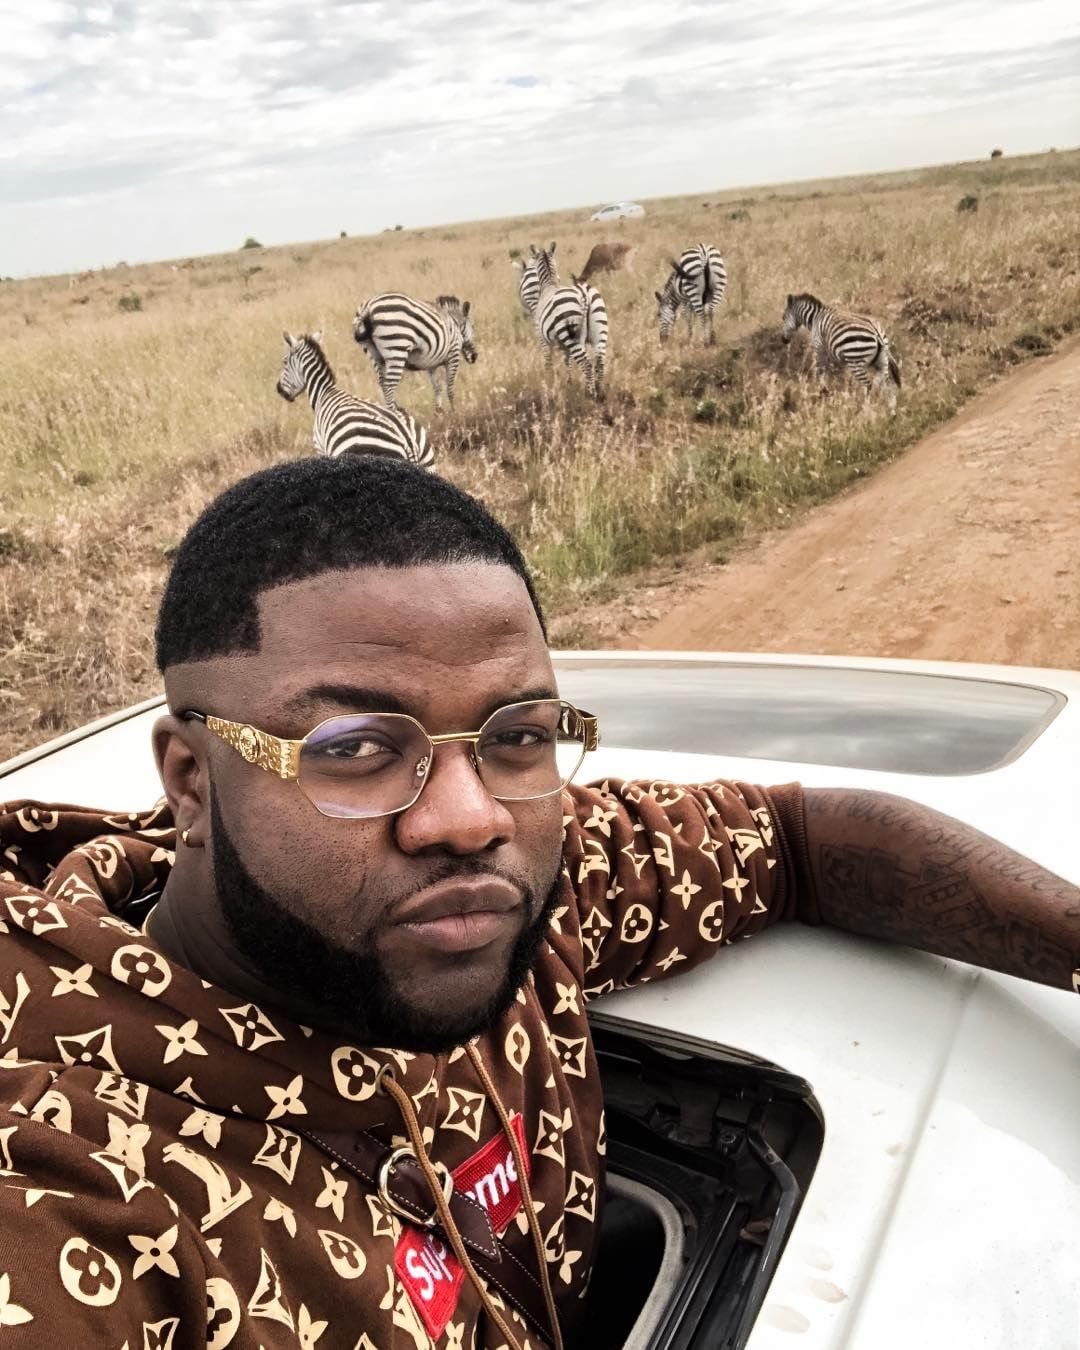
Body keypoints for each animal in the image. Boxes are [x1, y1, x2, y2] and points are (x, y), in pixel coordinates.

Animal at [516, 244, 609, 399]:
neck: (548, 285)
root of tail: (583, 293)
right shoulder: (564, 346)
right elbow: (567, 361)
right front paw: (568, 383)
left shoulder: (543, 340)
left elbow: (548, 362)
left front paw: (549, 384)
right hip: (599, 330)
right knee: (599, 362)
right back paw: (600, 393)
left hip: (571, 335)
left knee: (587, 364)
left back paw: (589, 394)